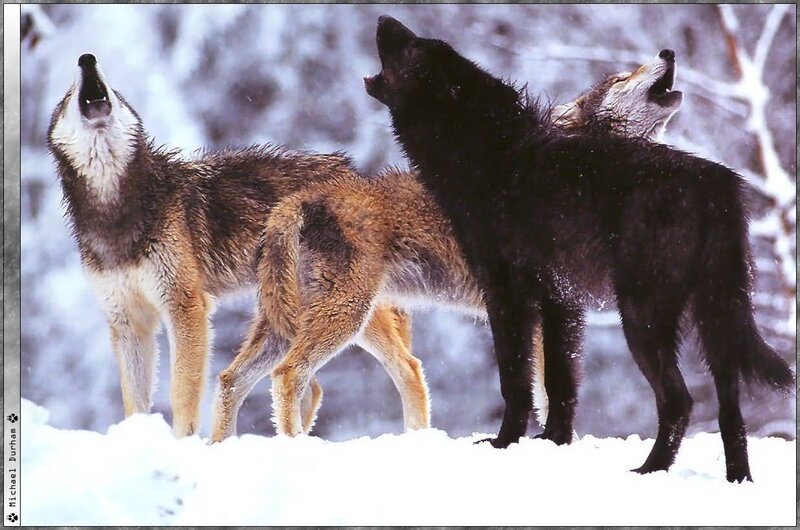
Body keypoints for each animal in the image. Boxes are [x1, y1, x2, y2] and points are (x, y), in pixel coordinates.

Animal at [47, 53, 429, 438]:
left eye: (114, 91)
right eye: (67, 96)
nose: (87, 58)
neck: (116, 211)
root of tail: (357, 175)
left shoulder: (185, 307)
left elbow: (182, 394)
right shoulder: (127, 320)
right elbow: (134, 403)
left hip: (350, 311)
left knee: (408, 368)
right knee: (299, 385)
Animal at [212, 50, 683, 441]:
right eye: (622, 76)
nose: (668, 52)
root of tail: (299, 199)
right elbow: (550, 391)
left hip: (291, 321)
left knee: (232, 379)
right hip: (345, 316)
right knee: (289, 374)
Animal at [363, 16, 793, 482]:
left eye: (413, 48)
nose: (383, 19)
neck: (485, 155)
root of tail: (717, 180)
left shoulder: (508, 297)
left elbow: (515, 381)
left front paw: (504, 443)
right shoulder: (560, 302)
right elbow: (559, 382)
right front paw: (553, 441)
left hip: (643, 317)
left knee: (679, 400)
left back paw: (649, 470)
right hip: (714, 317)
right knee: (731, 409)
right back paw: (737, 481)